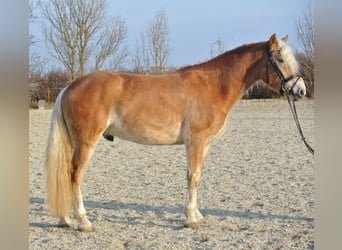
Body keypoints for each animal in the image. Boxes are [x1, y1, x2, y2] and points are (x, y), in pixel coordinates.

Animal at [44, 34, 308, 231]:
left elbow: (197, 177)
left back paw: (65, 219)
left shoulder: (204, 145)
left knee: (65, 175)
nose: (301, 90)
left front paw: (196, 214)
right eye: (280, 59)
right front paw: (191, 218)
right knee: (75, 176)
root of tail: (69, 87)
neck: (214, 86)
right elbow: (193, 177)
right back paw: (83, 221)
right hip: (86, 142)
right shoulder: (196, 142)